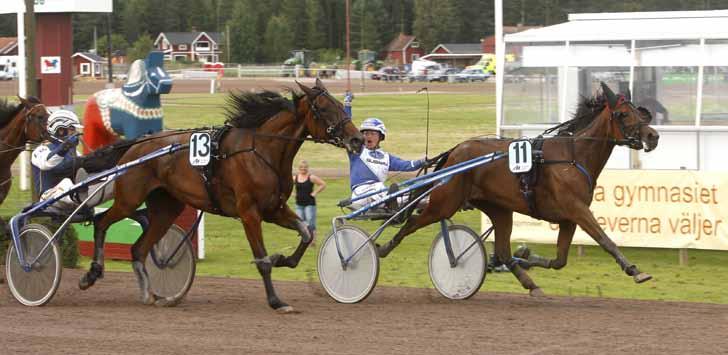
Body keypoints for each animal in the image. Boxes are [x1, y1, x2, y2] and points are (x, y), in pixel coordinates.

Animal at [82, 79, 364, 312]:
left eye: (341, 104)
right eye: (324, 109)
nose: (358, 140)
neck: (263, 151)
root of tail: (135, 146)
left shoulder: (274, 209)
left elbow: (306, 233)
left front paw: (283, 259)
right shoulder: (249, 213)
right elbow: (262, 260)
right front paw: (276, 301)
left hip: (166, 209)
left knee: (139, 249)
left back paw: (148, 294)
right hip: (129, 199)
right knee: (101, 222)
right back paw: (92, 274)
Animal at [382, 82, 660, 294]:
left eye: (639, 112)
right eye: (623, 114)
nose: (653, 136)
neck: (573, 156)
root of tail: (455, 151)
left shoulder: (568, 217)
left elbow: (559, 261)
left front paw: (526, 257)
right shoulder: (577, 209)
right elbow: (605, 239)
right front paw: (635, 270)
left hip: (499, 209)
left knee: (504, 252)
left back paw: (529, 282)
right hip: (445, 203)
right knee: (412, 222)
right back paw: (382, 248)